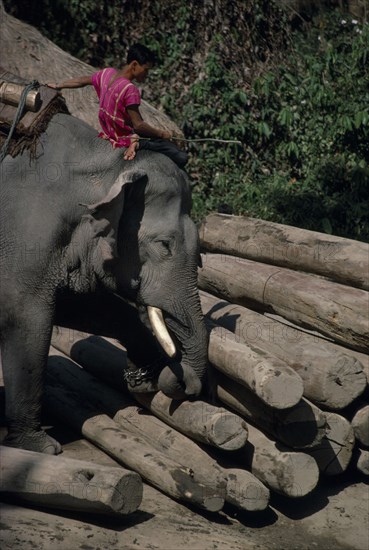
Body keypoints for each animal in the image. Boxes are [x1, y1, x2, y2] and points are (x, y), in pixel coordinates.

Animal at [0, 110, 208, 454]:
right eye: (165, 244)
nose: (186, 383)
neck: (106, 161)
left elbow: (81, 306)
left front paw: (145, 377)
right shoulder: (25, 234)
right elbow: (27, 317)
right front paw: (40, 447)